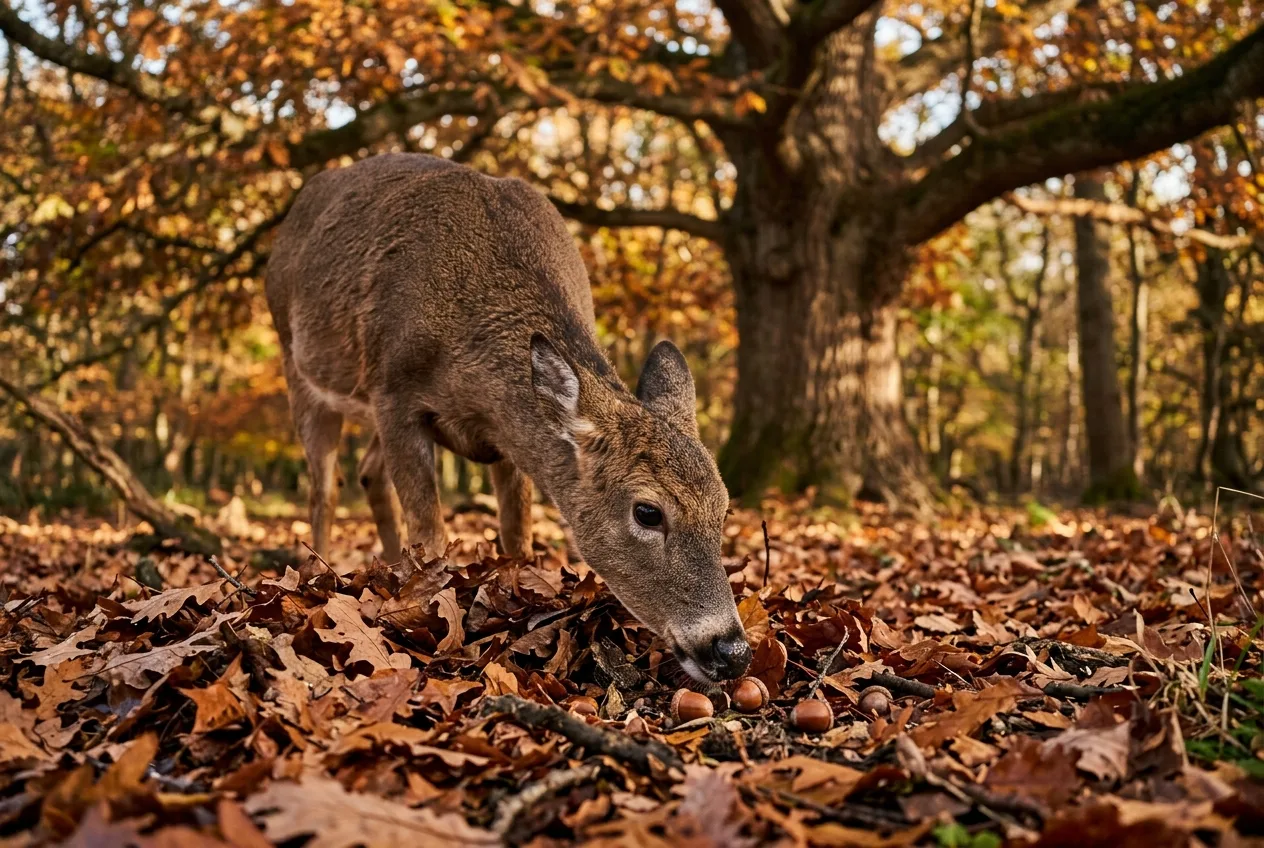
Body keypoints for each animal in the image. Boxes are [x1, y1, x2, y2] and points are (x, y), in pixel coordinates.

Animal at [264, 153, 751, 683]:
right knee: (324, 489)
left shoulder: (506, 439)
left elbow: (517, 536)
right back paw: (321, 579)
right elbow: (430, 533)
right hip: (299, 368)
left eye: (724, 509)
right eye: (647, 511)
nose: (731, 650)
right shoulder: (393, 392)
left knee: (369, 472)